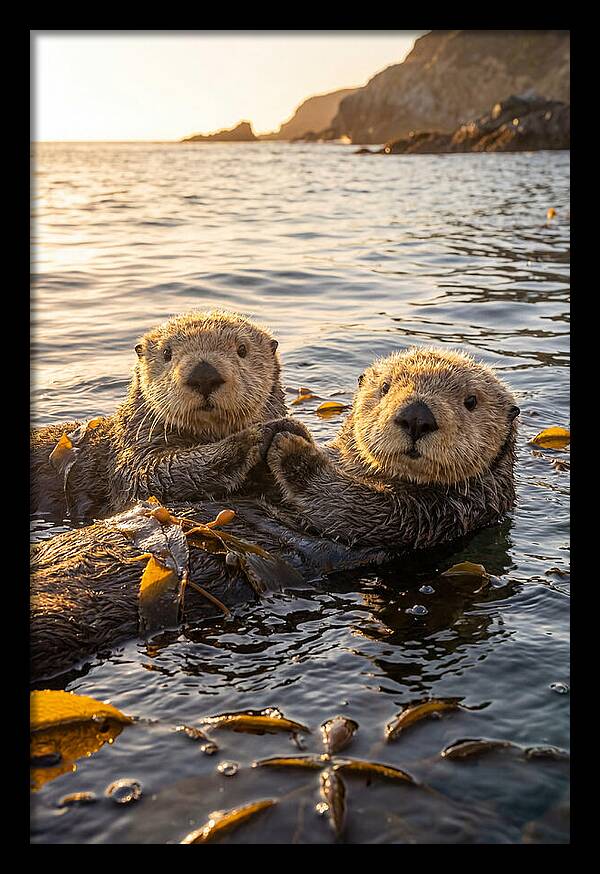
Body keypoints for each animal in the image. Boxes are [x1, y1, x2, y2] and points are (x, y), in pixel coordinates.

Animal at [31, 310, 293, 521]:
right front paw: (255, 437)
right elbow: (152, 475)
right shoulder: (132, 454)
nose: (204, 374)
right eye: (167, 353)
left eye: (242, 349)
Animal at [31, 347, 520, 682]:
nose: (416, 415)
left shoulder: (433, 516)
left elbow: (347, 504)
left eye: (471, 401)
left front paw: (289, 443)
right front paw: (275, 431)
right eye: (385, 390)